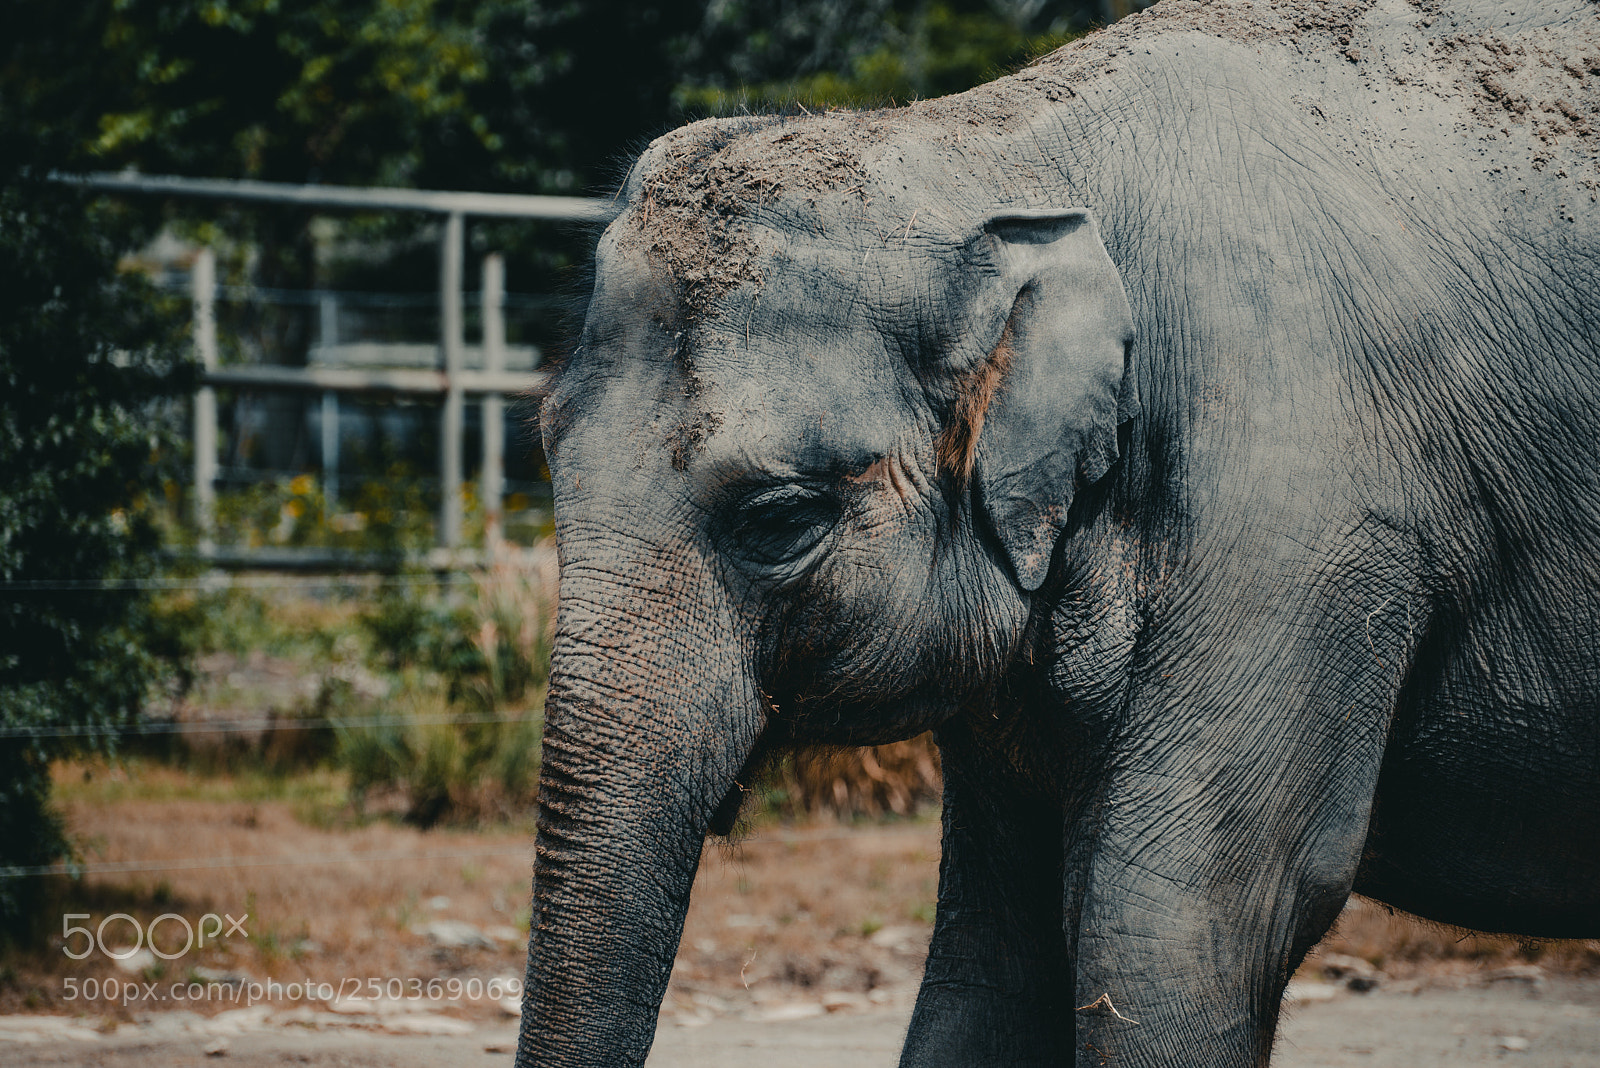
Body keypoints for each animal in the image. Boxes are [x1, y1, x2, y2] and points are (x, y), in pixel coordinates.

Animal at [518, 1, 1600, 1065]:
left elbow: (1170, 938)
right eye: (545, 447)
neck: (990, 149)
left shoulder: (1301, 508)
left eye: (779, 519)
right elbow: (992, 967)